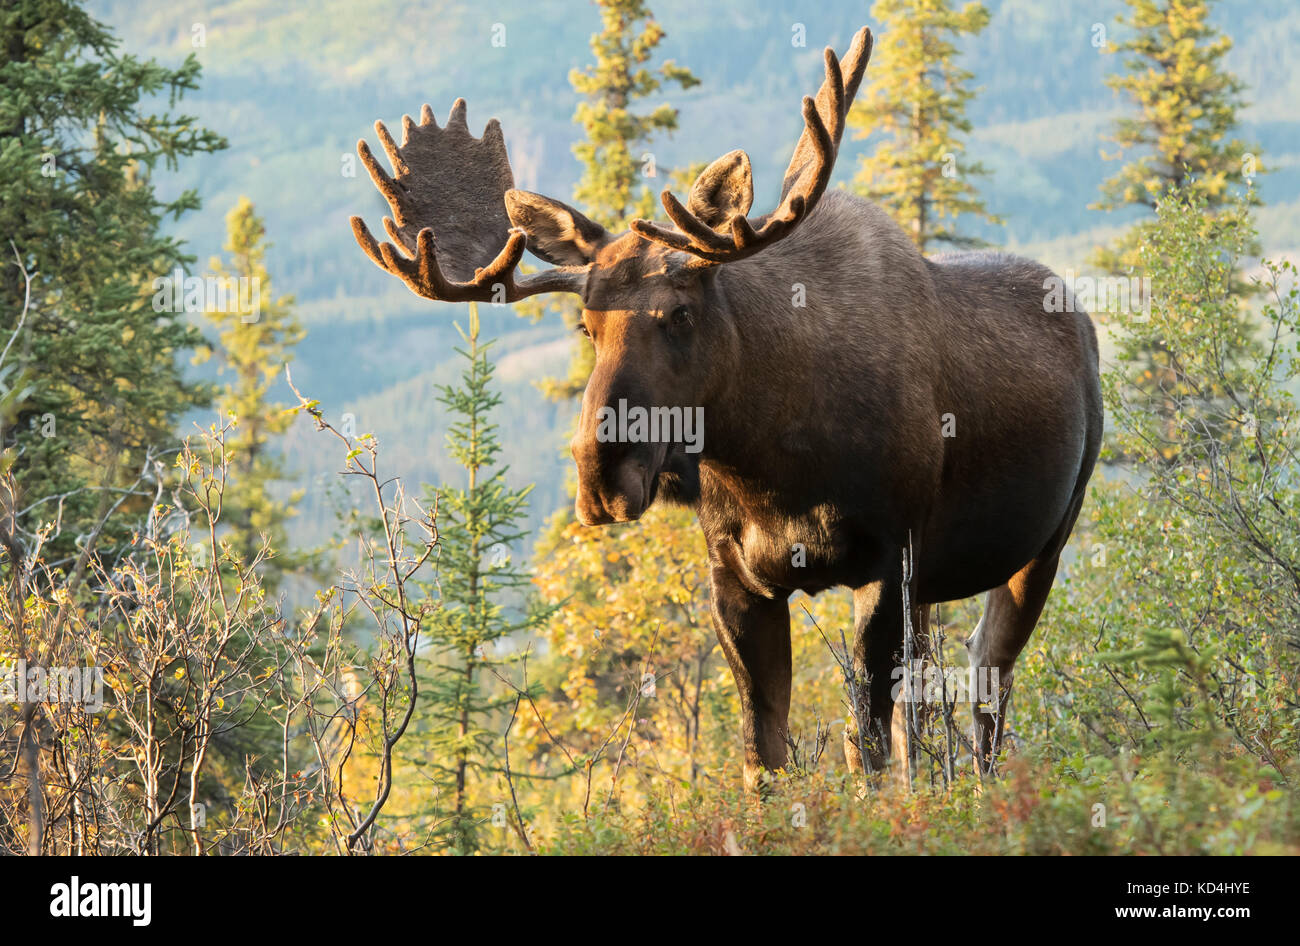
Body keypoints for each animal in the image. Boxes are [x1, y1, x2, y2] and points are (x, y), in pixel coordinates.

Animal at [351, 25, 1102, 790]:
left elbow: (863, 745)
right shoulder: (737, 577)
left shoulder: (886, 561)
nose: (601, 474)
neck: (775, 466)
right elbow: (763, 754)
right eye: (586, 326)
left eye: (679, 314)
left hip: (1043, 543)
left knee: (986, 682)